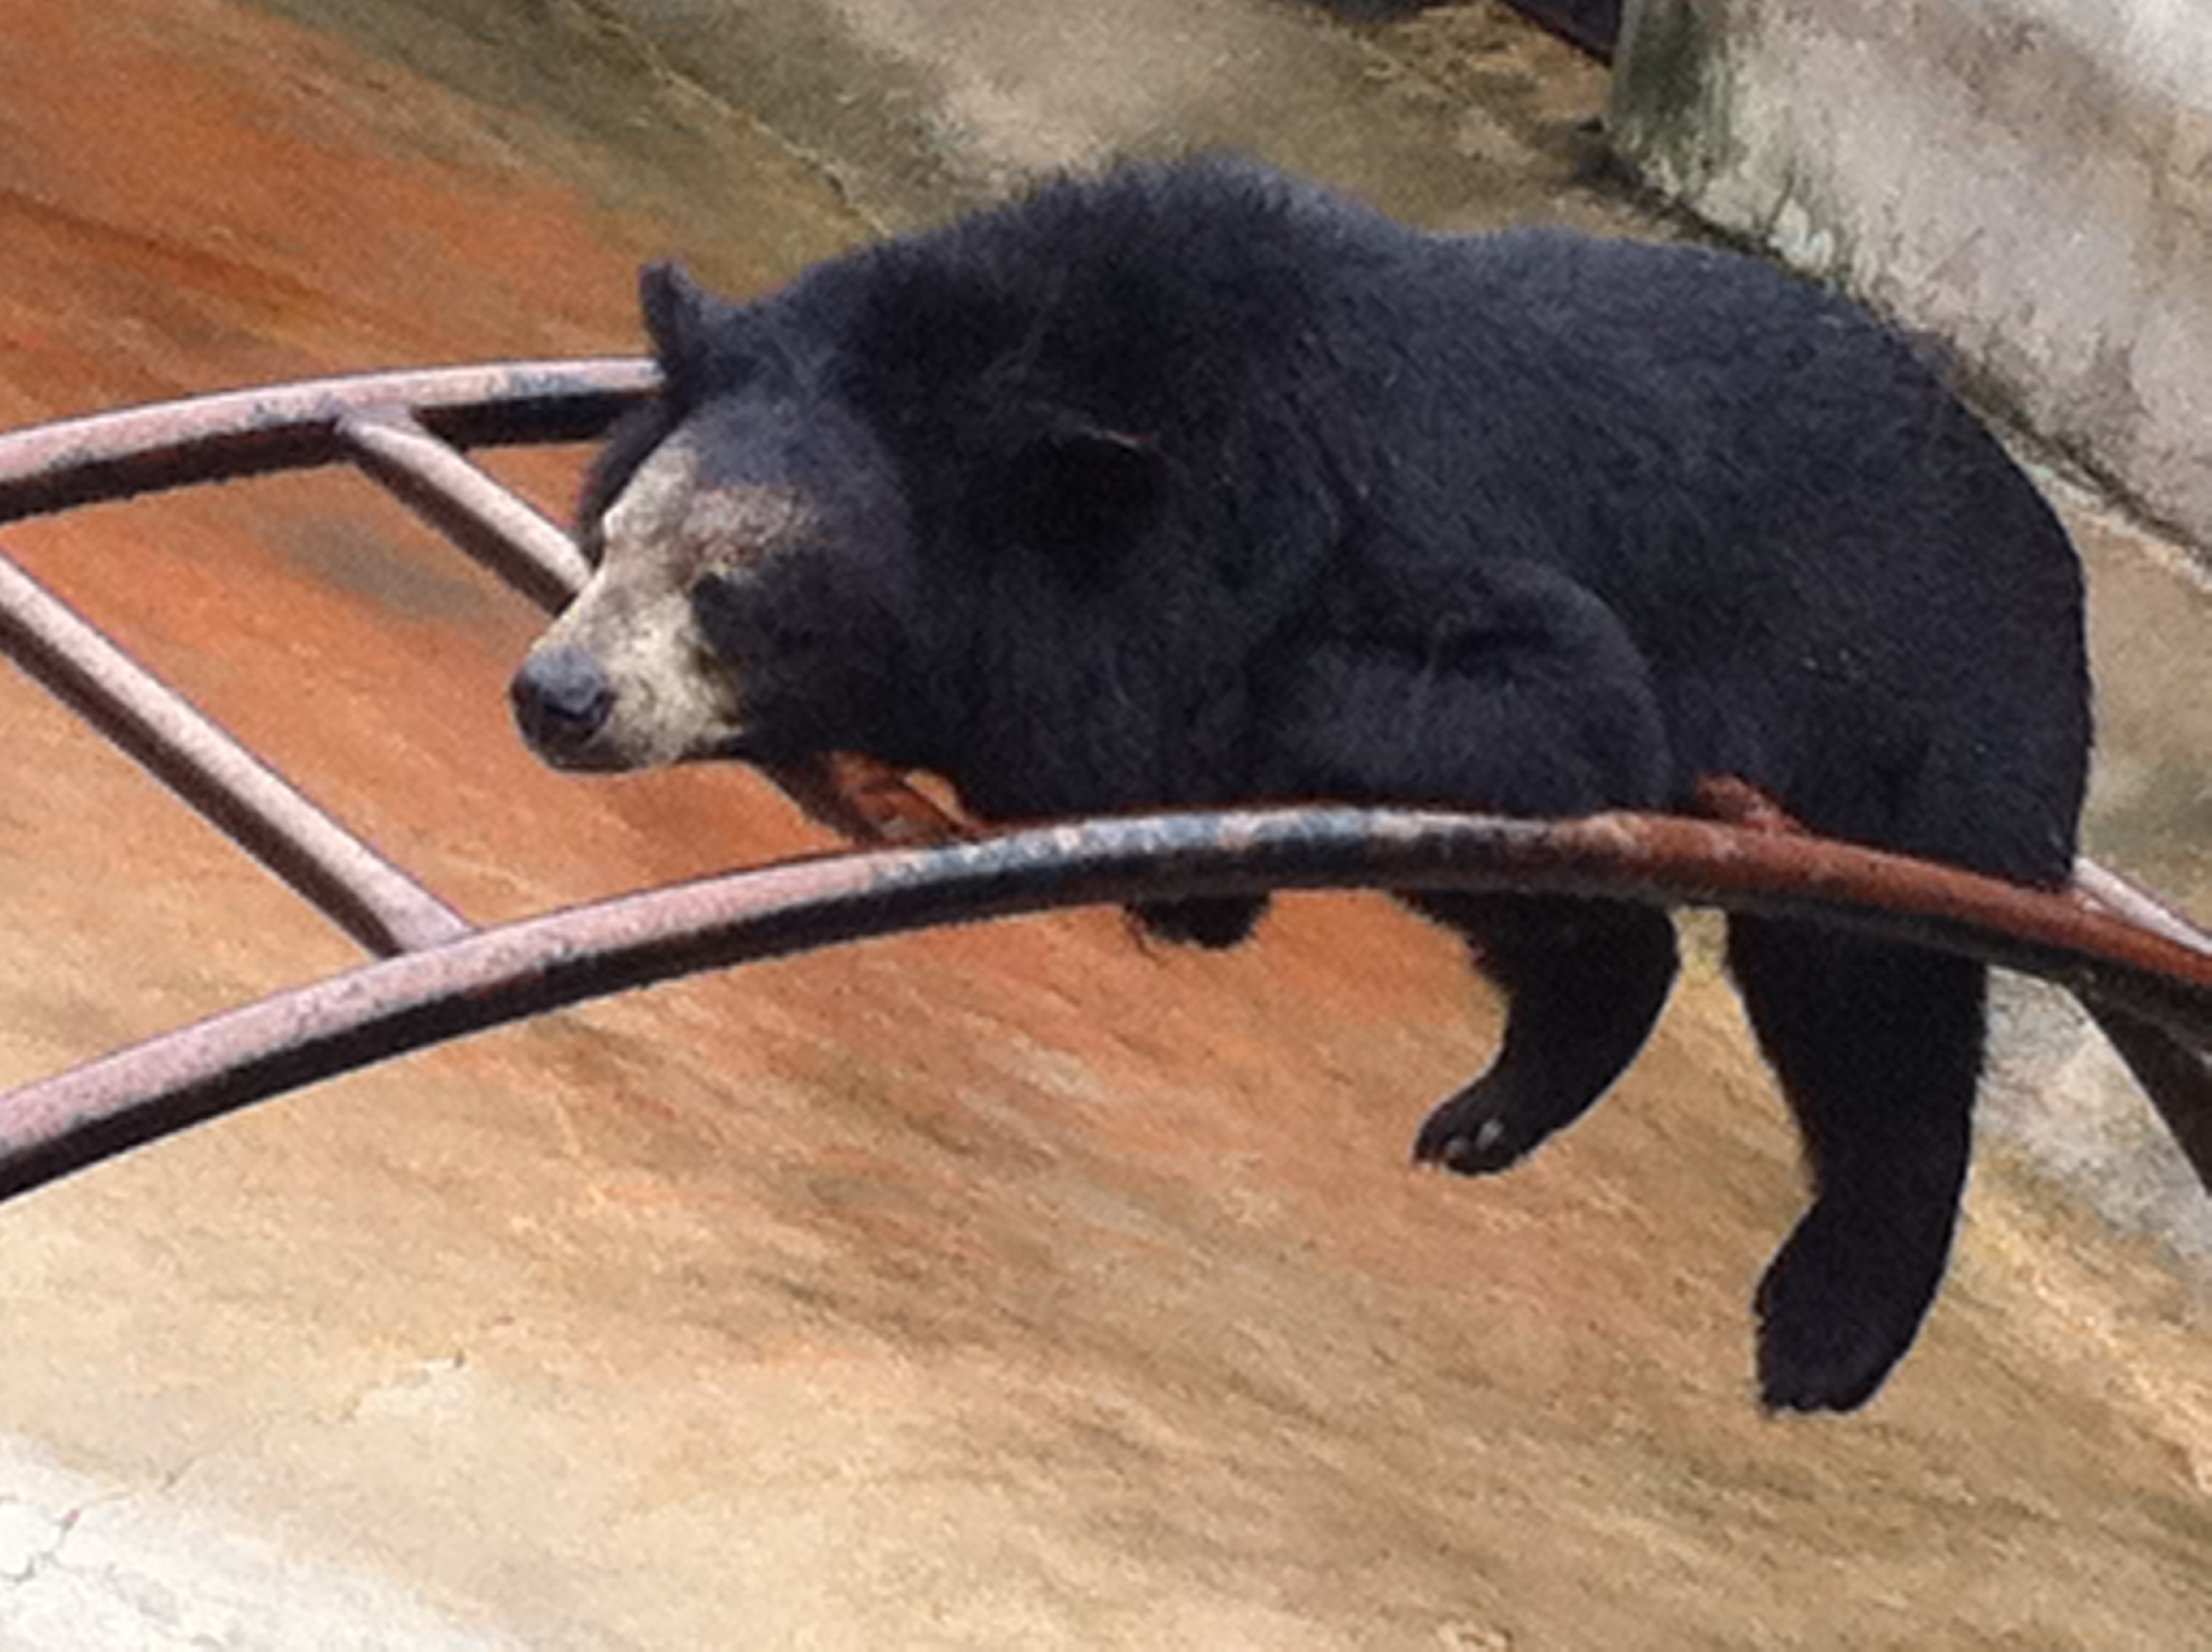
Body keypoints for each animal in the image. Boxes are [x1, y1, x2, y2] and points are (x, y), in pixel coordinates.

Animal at [509, 157, 2091, 1413]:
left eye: (731, 593)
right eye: (621, 535)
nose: (558, 696)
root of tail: (2045, 542)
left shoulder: (1380, 510)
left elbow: (1557, 700)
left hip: (1923, 731)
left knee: (1868, 1002)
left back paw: (1825, 1329)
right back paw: (1500, 1107)